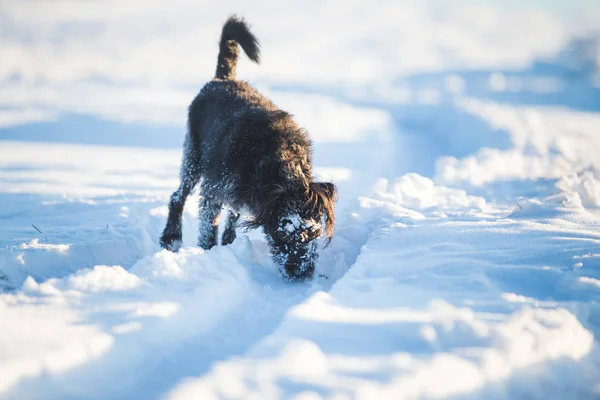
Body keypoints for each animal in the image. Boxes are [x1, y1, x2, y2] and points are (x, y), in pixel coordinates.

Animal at [159, 14, 338, 278]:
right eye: (282, 232)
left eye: (314, 232)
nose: (299, 273)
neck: (277, 160)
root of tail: (222, 79)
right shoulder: (212, 193)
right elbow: (208, 230)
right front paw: (207, 254)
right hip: (193, 158)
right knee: (177, 197)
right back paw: (170, 237)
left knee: (233, 213)